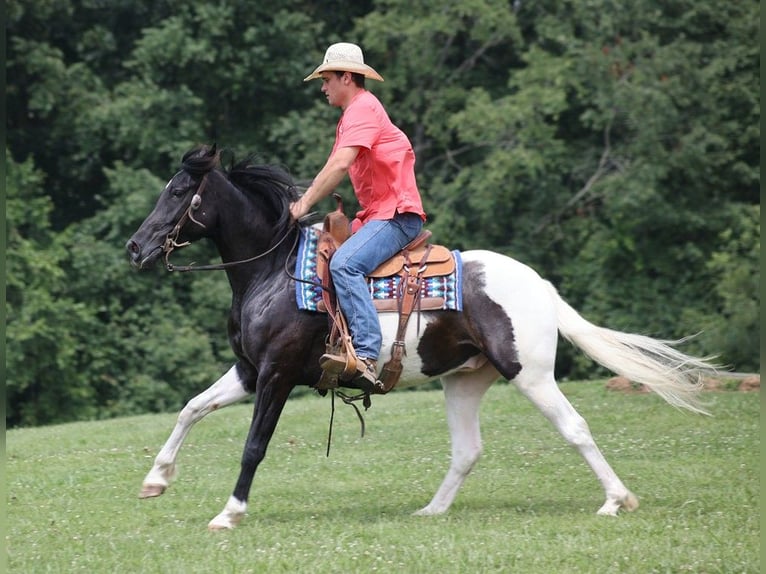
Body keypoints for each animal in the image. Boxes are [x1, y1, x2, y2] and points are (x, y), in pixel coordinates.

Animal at [126, 145, 720, 532]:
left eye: (178, 191)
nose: (135, 247)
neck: (274, 271)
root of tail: (540, 286)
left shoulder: (276, 374)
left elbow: (254, 445)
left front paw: (229, 513)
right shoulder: (250, 371)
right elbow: (191, 408)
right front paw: (156, 479)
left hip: (530, 374)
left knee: (573, 427)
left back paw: (616, 500)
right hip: (464, 381)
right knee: (467, 450)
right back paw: (432, 511)